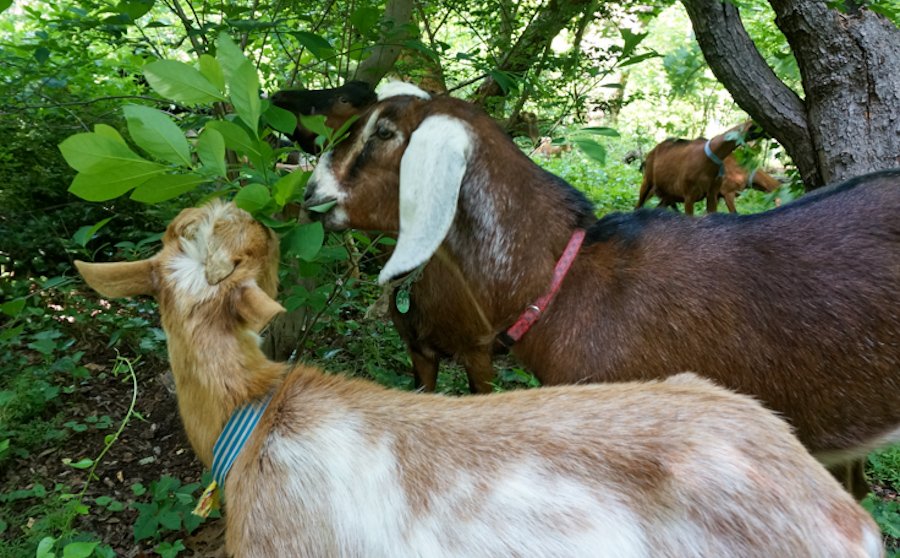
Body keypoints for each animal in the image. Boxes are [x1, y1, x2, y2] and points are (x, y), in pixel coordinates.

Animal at [636, 122, 765, 215]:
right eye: (755, 127)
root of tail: (650, 154)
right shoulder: (689, 196)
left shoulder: (712, 195)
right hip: (647, 183)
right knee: (638, 206)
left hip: (668, 194)